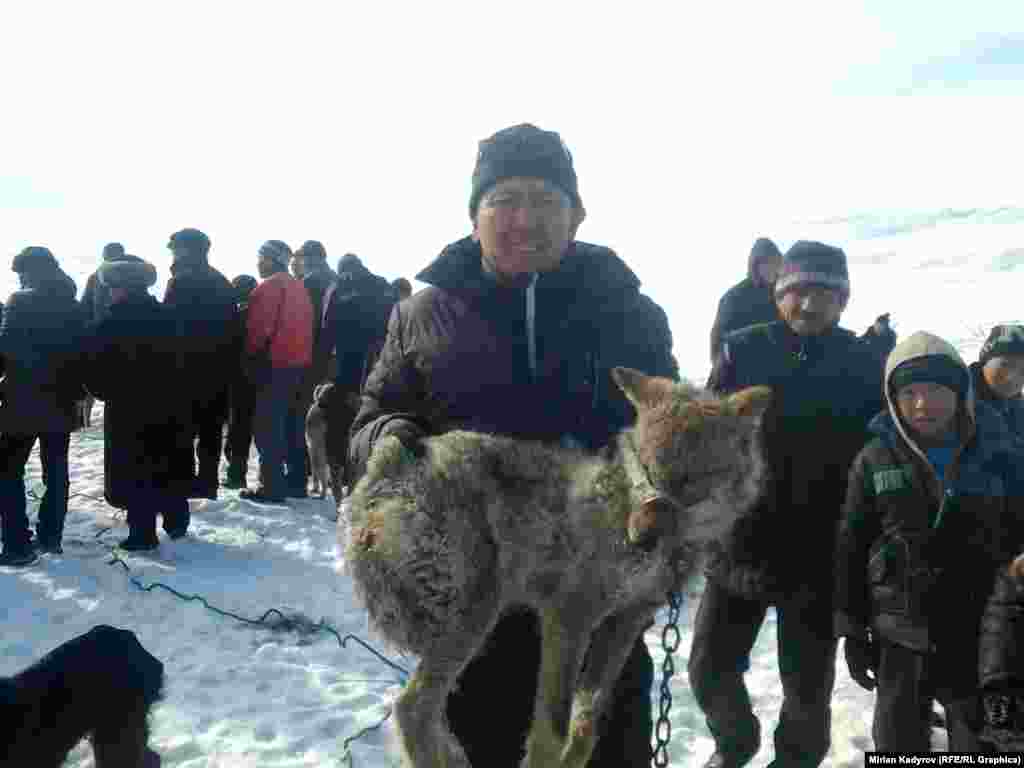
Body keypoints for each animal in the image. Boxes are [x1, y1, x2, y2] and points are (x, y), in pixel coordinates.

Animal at [342, 370, 770, 765]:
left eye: (692, 481)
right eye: (646, 467)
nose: (641, 534)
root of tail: (392, 459)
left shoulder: (625, 622)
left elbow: (587, 722)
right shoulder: (568, 616)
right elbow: (552, 729)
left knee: (425, 712)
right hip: (476, 617)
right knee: (411, 709)